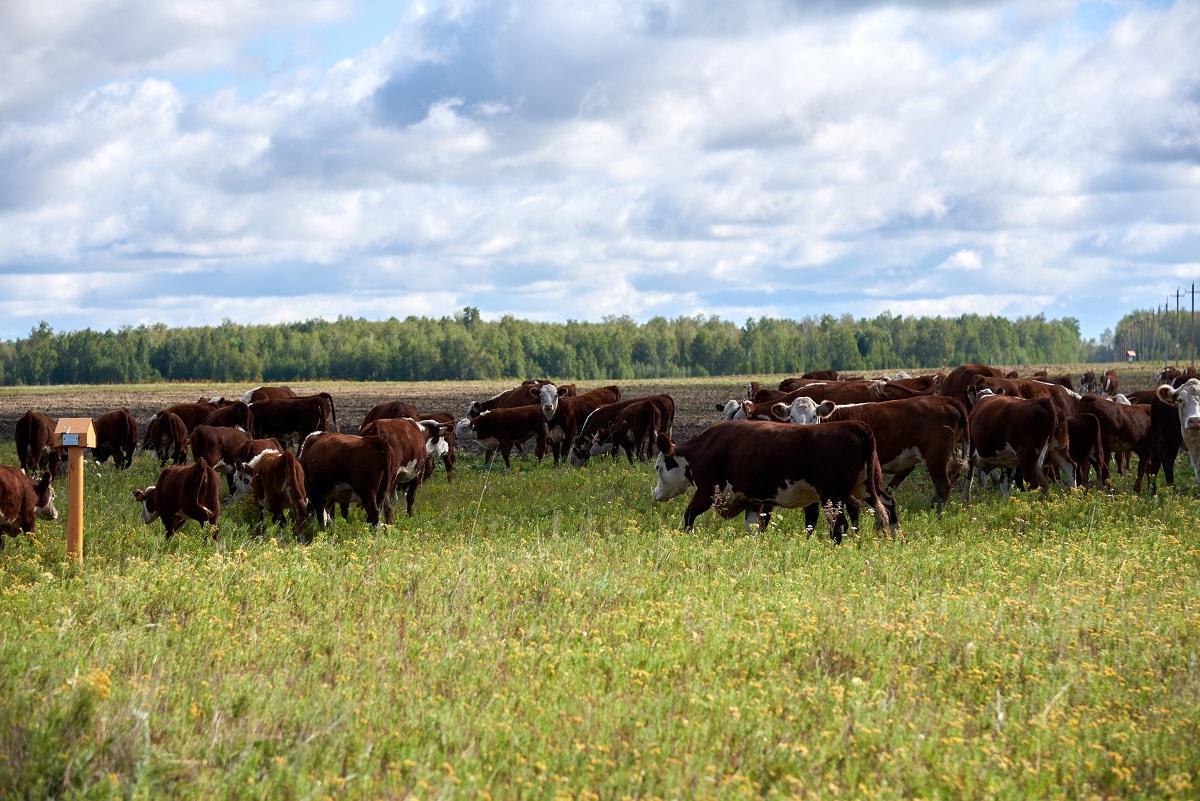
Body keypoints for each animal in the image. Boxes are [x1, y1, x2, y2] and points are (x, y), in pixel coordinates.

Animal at [652, 419, 897, 544]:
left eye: (658, 467)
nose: (655, 494)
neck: (706, 448)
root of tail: (855, 426)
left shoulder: (707, 491)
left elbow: (689, 515)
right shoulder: (753, 499)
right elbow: (753, 526)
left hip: (833, 496)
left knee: (839, 526)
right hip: (868, 487)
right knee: (887, 507)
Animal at [772, 393, 969, 513]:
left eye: (814, 416)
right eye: (791, 417)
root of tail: (946, 400)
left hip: (937, 455)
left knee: (943, 485)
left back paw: (937, 517)